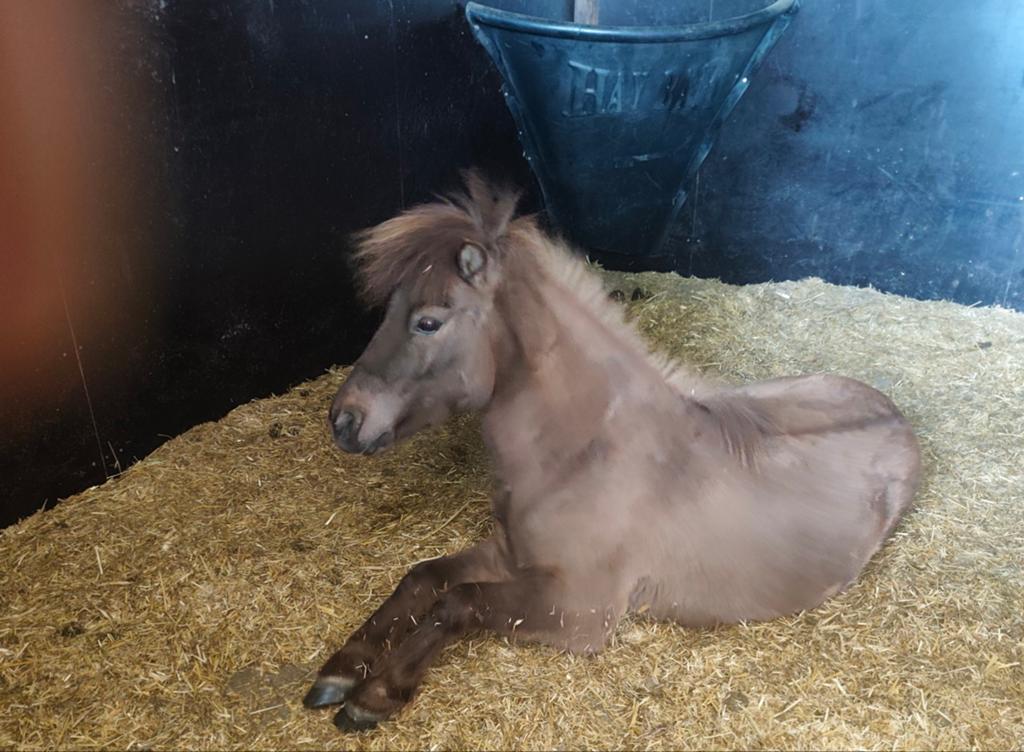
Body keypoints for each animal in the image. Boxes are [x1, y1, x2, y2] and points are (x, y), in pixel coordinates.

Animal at [302, 171, 921, 731]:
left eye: (429, 321)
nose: (344, 420)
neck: (582, 456)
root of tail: (894, 413)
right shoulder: (509, 553)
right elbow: (423, 578)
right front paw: (341, 669)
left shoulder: (579, 609)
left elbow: (460, 601)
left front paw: (376, 693)